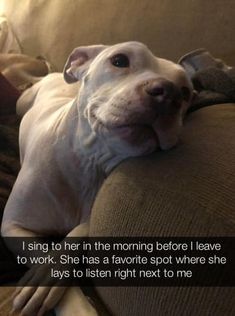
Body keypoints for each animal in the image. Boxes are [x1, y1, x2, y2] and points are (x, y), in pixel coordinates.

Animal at [1, 42, 193, 316]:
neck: (90, 161)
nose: (169, 93)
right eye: (120, 60)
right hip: (22, 103)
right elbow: (41, 252)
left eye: (186, 92)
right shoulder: (13, 227)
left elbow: (80, 231)